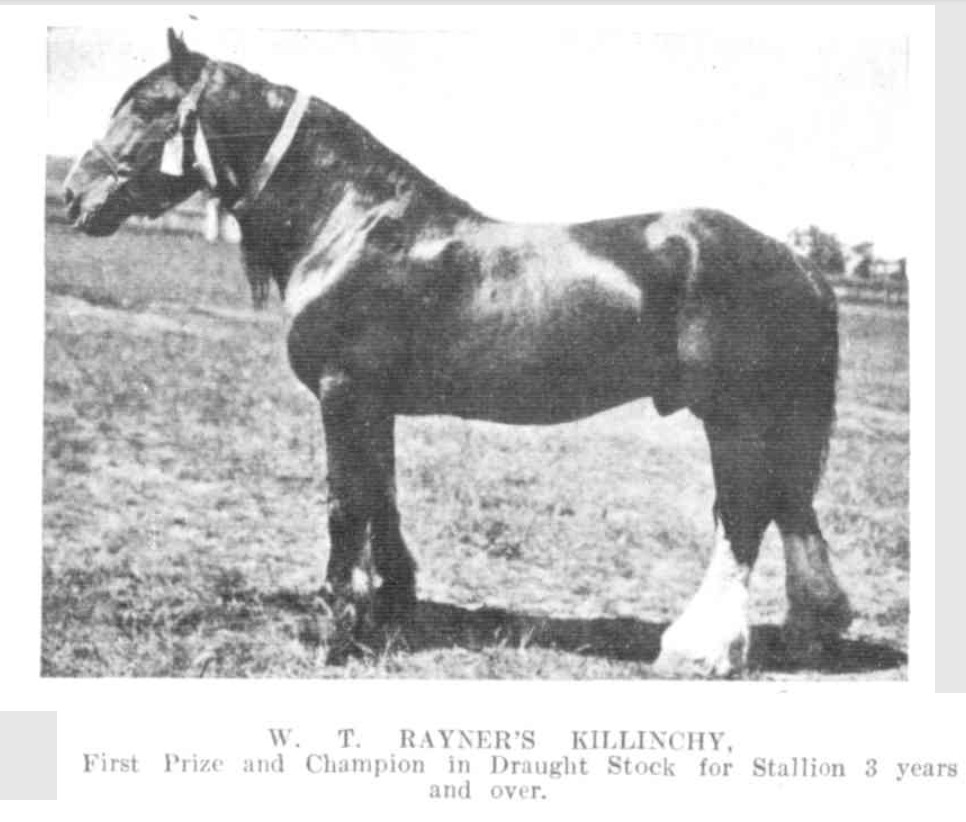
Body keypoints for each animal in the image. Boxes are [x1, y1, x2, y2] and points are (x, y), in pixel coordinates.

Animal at [62, 30, 856, 676]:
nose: (73, 197)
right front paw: (388, 610)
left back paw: (701, 650)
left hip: (735, 416)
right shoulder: (372, 403)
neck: (352, 224)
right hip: (768, 417)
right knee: (789, 506)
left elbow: (346, 504)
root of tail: (795, 260)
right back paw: (813, 628)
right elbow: (382, 497)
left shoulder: (343, 393)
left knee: (745, 515)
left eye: (148, 106)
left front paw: (335, 632)